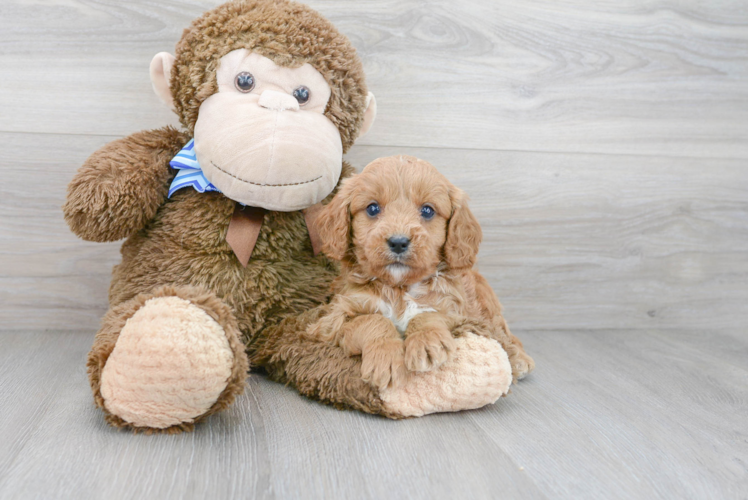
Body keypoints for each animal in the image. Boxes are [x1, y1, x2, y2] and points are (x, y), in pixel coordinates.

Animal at [308, 156, 532, 390]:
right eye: (372, 208)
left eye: (427, 211)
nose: (398, 242)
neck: (399, 288)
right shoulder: (332, 320)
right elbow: (373, 320)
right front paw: (386, 357)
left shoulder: (456, 311)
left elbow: (428, 314)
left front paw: (426, 342)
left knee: (501, 331)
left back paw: (519, 359)